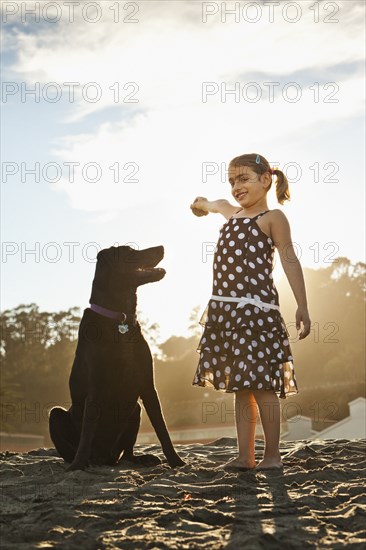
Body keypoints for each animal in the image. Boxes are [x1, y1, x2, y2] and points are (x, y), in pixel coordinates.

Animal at [48, 248, 184, 472]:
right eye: (130, 251)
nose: (162, 247)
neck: (120, 319)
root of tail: (107, 457)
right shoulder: (96, 386)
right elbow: (87, 431)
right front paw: (78, 464)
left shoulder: (147, 385)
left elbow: (162, 428)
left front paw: (176, 461)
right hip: (56, 415)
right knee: (71, 444)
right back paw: (82, 461)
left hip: (135, 410)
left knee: (127, 453)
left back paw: (141, 459)